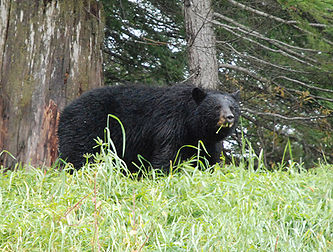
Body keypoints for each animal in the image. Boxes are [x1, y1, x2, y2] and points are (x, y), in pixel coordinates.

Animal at [57, 83, 239, 172]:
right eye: (216, 107)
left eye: (232, 107)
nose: (229, 117)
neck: (192, 124)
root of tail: (64, 111)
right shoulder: (171, 124)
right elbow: (167, 155)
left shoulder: (206, 140)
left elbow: (208, 159)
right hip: (85, 127)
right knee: (79, 155)